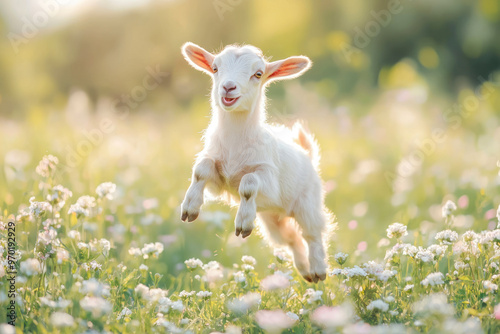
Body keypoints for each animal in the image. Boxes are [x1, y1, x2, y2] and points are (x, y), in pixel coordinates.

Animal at [180, 41, 332, 282]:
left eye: (258, 74)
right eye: (215, 68)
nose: (228, 87)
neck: (235, 146)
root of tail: (307, 155)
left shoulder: (269, 178)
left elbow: (249, 183)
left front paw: (243, 222)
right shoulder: (219, 178)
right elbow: (201, 170)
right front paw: (190, 208)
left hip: (308, 202)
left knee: (313, 234)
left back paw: (318, 270)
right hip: (272, 218)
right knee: (291, 238)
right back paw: (305, 271)